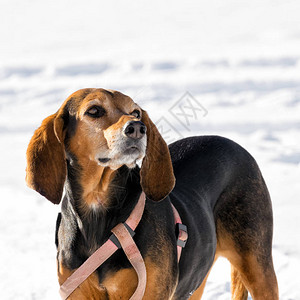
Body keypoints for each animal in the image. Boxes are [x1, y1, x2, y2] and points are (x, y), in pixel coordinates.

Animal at [25, 88, 278, 298]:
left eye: (136, 112)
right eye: (94, 111)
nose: (137, 128)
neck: (98, 213)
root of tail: (237, 146)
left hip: (258, 267)